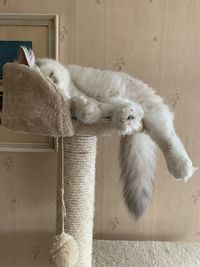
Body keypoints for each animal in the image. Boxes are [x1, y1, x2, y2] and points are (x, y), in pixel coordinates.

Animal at [19, 47, 198, 218]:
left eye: (53, 78)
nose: (60, 94)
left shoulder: (88, 97)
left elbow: (84, 103)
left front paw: (88, 109)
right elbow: (85, 110)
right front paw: (89, 112)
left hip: (143, 108)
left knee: (166, 135)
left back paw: (180, 168)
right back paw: (124, 119)